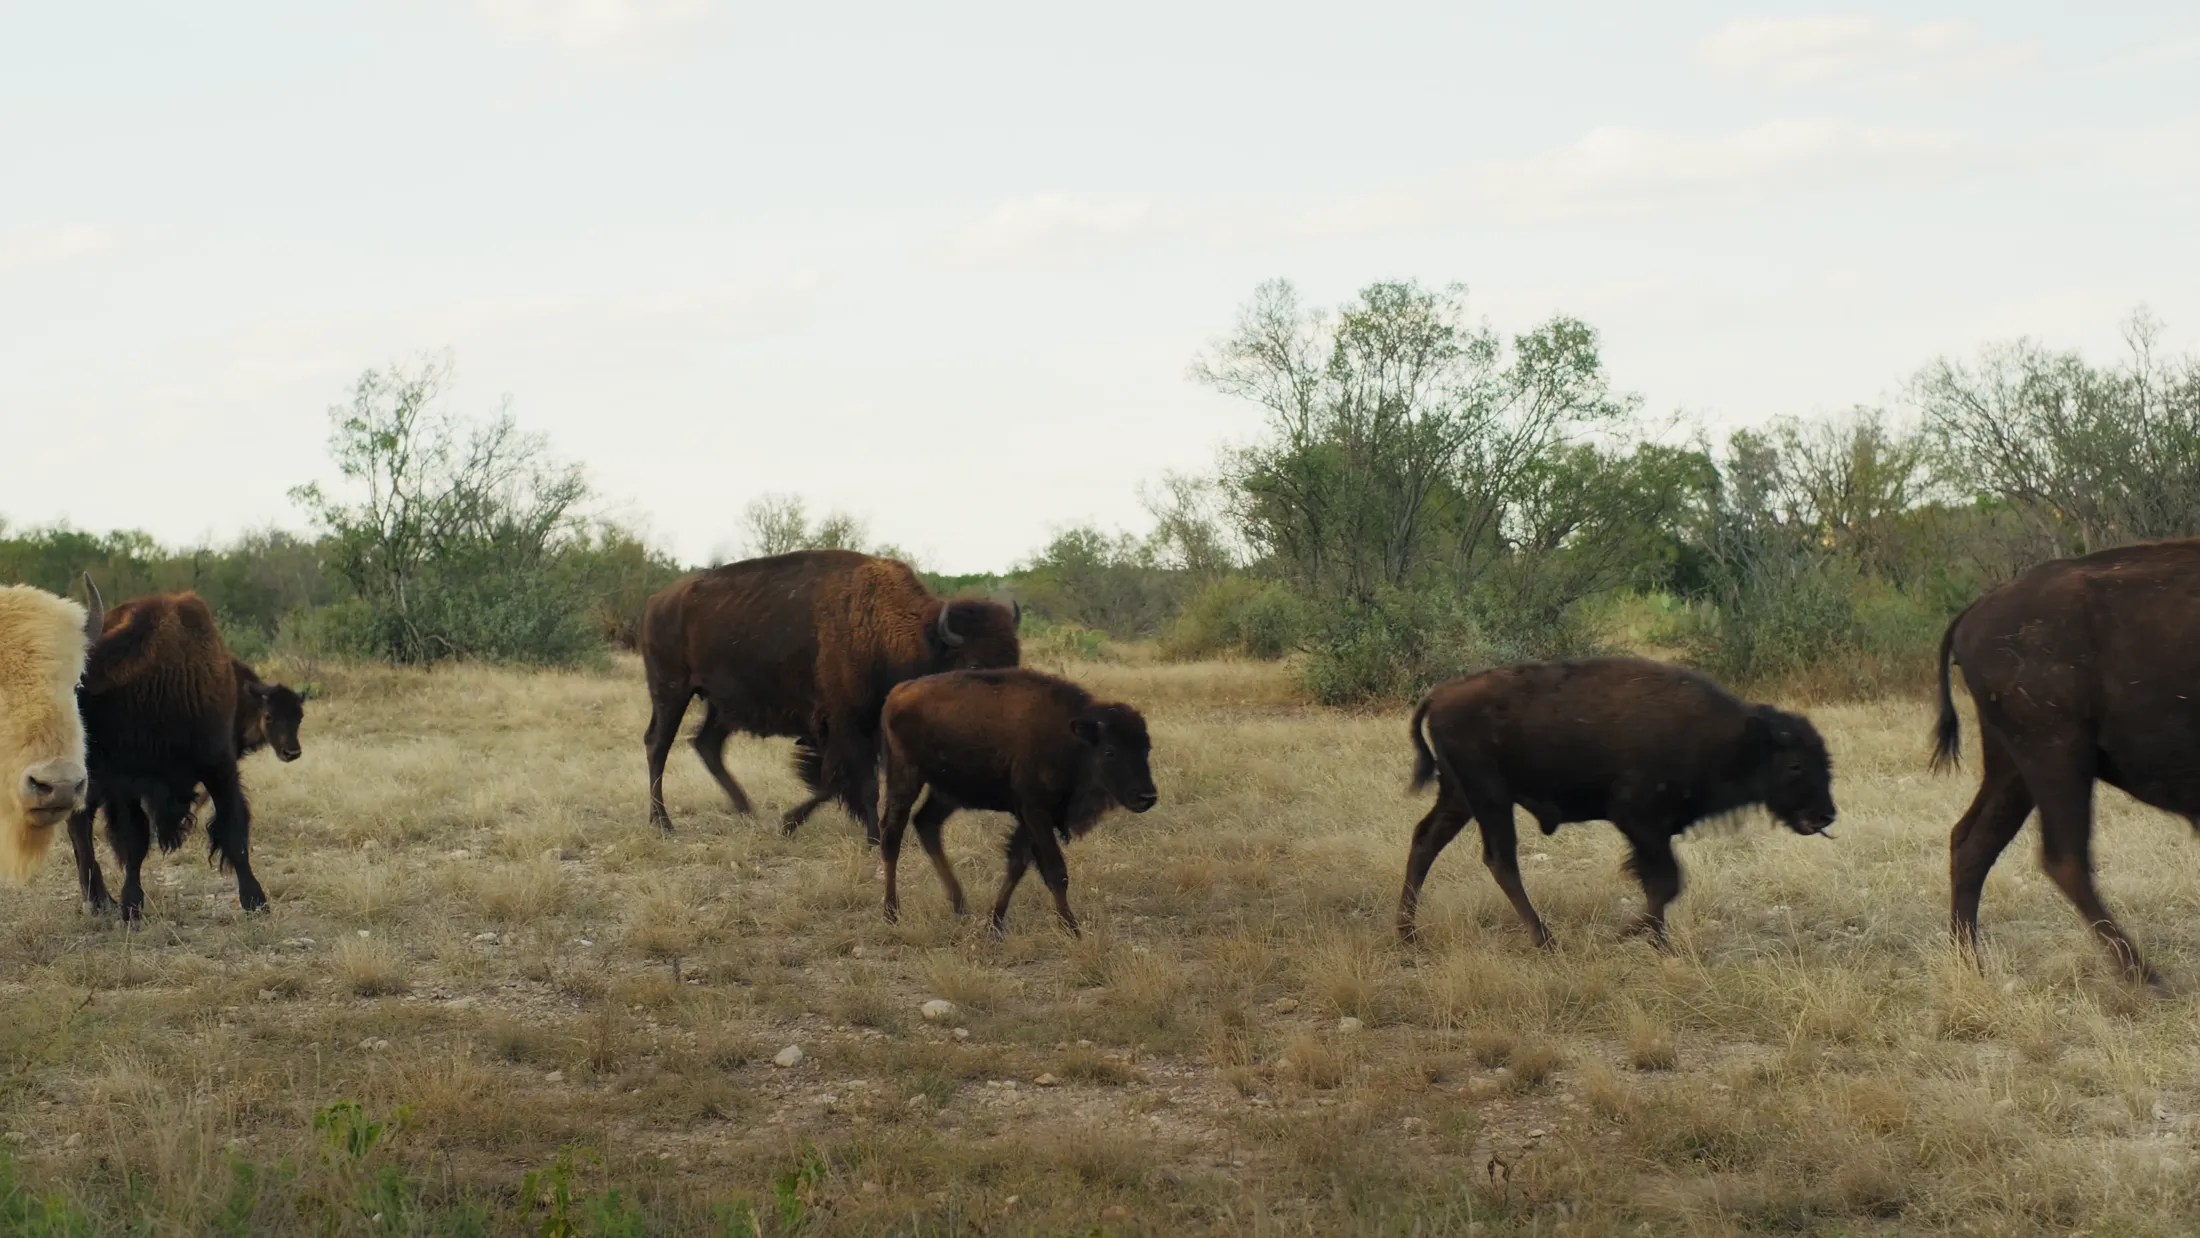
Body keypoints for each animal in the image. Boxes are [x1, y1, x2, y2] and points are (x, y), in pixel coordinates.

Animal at [70, 587, 267, 920]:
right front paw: (131, 907)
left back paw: (99, 900)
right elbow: (134, 843)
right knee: (80, 827)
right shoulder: (124, 785)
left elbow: (233, 830)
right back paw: (100, 901)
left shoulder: (220, 768)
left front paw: (256, 900)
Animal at [641, 550, 1020, 839]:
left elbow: (839, 781)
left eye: (1015, 660)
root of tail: (656, 602)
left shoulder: (864, 731)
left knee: (707, 744)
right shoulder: (843, 726)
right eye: (972, 664)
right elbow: (851, 782)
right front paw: (869, 836)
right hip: (672, 691)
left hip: (720, 705)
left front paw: (792, 824)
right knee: (658, 745)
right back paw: (664, 824)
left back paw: (746, 809)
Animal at [877, 667, 1156, 936]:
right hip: (905, 777)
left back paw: (960, 906)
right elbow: (1055, 871)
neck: (1071, 740)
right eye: (1110, 751)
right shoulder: (1036, 812)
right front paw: (1072, 930)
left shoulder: (1032, 817)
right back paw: (891, 913)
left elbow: (1017, 864)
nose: (1147, 797)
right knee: (892, 834)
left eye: (1146, 749)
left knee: (926, 823)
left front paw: (994, 925)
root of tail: (898, 692)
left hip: (948, 792)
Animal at [1398, 656, 1836, 948]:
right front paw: (1631, 934)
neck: (1740, 739)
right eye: (1796, 765)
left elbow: (1662, 884)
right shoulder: (1637, 819)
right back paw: (1545, 940)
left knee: (1426, 840)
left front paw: (1656, 942)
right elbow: (1666, 882)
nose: (1825, 814)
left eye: (1825, 761)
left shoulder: (1656, 830)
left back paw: (1407, 934)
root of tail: (1439, 694)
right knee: (1499, 859)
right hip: (1489, 797)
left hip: (1460, 796)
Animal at [1934, 538, 2200, 985]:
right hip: (2058, 756)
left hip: (2014, 768)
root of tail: (1976, 611)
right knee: (2065, 859)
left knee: (1971, 843)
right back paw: (2147, 978)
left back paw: (1970, 965)